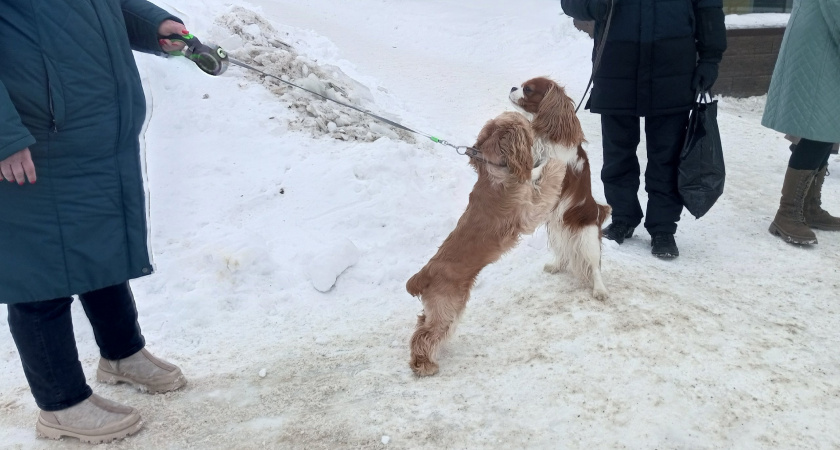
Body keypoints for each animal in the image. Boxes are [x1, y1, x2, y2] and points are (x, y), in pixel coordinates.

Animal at [406, 112, 568, 376]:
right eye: (527, 125)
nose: (537, 127)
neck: (496, 168)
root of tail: (423, 275)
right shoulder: (528, 214)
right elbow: (547, 184)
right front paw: (557, 164)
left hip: (441, 309)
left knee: (422, 324)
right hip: (446, 307)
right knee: (424, 335)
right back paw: (425, 365)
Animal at [506, 77, 612, 300]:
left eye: (528, 89)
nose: (512, 87)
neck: (546, 137)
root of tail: (598, 211)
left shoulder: (561, 170)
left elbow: (543, 168)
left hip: (588, 238)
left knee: (595, 266)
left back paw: (600, 290)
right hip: (557, 230)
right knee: (564, 253)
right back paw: (556, 265)